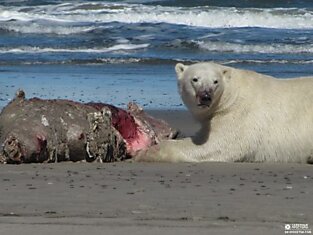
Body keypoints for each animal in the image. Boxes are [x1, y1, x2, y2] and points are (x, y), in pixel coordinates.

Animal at [136, 61, 313, 162]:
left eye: (215, 82)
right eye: (195, 79)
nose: (205, 97)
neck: (232, 94)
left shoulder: (238, 115)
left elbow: (215, 144)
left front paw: (145, 153)